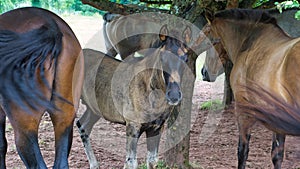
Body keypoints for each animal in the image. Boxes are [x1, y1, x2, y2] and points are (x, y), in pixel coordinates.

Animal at [76, 25, 191, 169]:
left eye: (185, 59)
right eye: (162, 58)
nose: (174, 95)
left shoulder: (156, 128)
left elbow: (152, 160)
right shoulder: (132, 126)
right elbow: (131, 162)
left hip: (94, 109)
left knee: (83, 126)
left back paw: (94, 165)